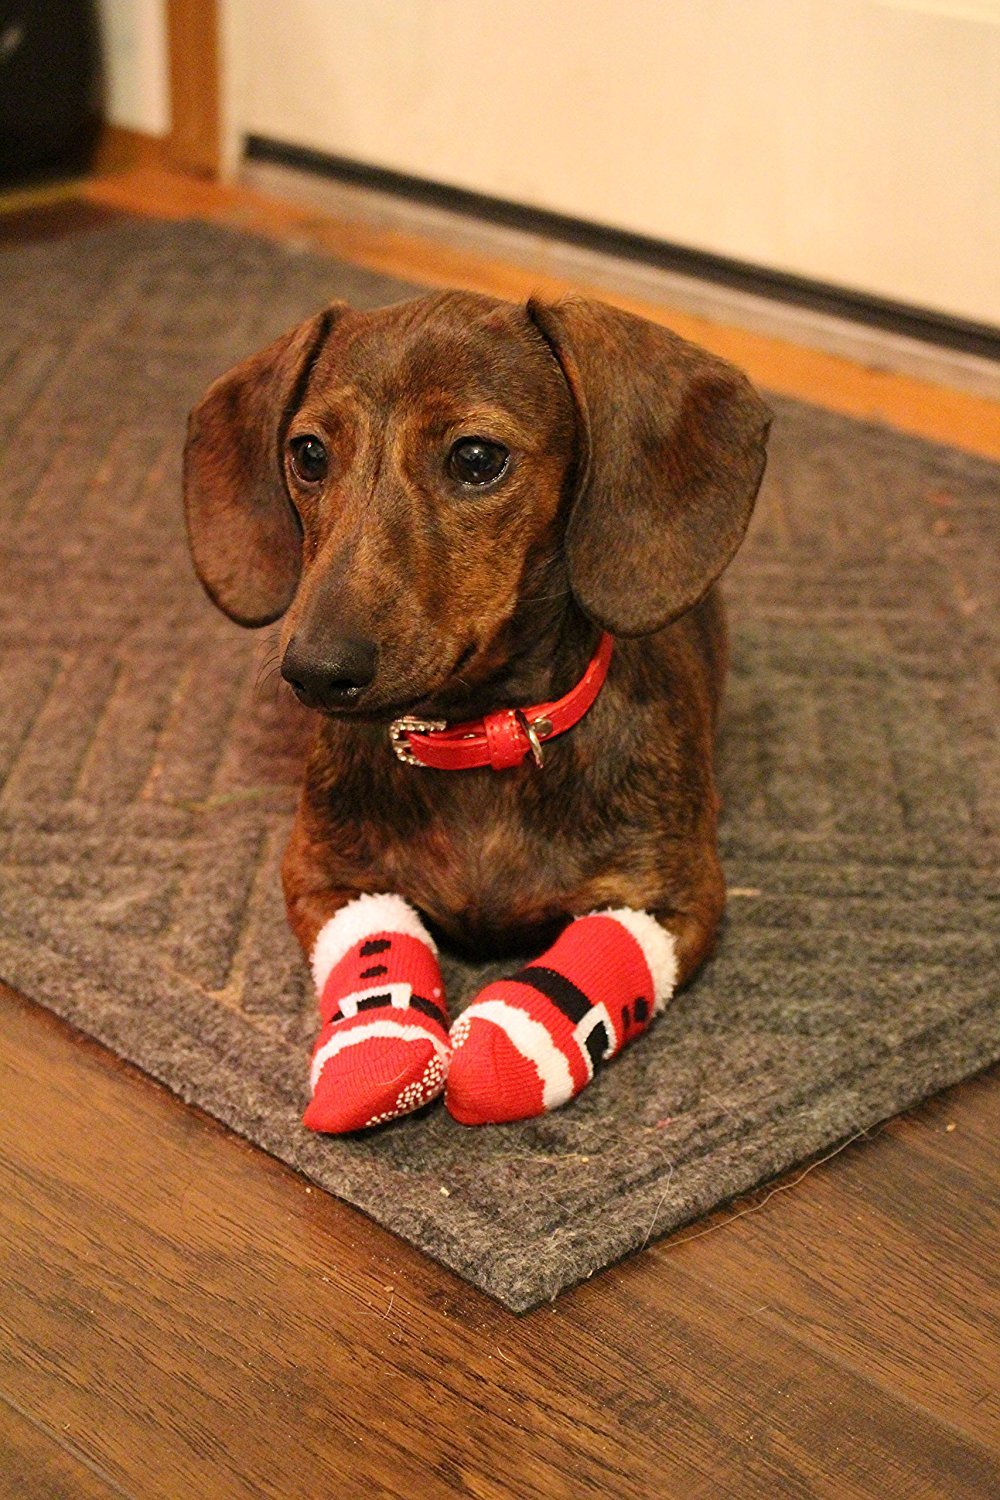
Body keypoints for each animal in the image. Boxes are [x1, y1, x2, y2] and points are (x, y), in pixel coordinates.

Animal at [183, 289, 773, 1128]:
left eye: (475, 458)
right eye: (309, 454)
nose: (315, 673)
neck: (477, 739)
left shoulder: (676, 897)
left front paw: (507, 1049)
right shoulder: (322, 873)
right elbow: (375, 938)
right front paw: (379, 1050)